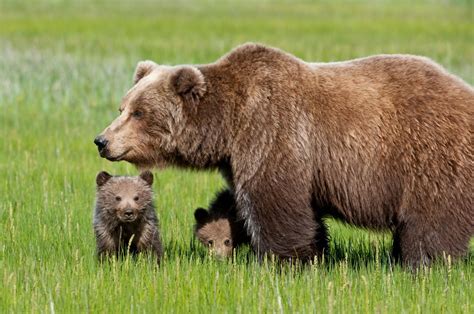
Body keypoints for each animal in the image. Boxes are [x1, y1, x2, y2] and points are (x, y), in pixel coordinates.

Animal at [94, 41, 472, 268]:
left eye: (139, 112)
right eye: (123, 107)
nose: (102, 140)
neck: (229, 124)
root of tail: (465, 90)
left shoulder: (273, 131)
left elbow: (275, 201)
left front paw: (283, 260)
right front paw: (316, 253)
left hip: (429, 155)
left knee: (431, 219)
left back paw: (423, 263)